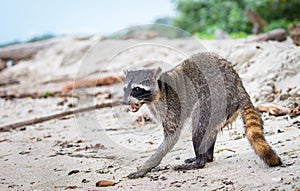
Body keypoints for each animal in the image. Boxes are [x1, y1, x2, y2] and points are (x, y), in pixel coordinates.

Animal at [122, 51, 282, 178]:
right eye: (125, 88)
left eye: (136, 89)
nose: (124, 101)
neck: (157, 93)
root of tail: (240, 88)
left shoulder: (173, 105)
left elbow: (171, 138)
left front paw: (146, 167)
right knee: (209, 130)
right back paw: (207, 156)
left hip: (216, 98)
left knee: (198, 124)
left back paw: (199, 162)